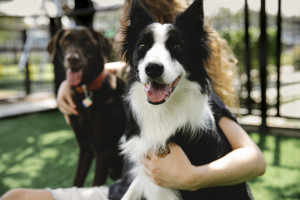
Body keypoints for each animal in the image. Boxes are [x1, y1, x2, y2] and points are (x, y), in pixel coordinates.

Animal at [47, 27, 126, 188]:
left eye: (88, 42)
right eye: (65, 41)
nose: (72, 59)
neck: (85, 90)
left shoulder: (103, 151)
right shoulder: (84, 148)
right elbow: (77, 181)